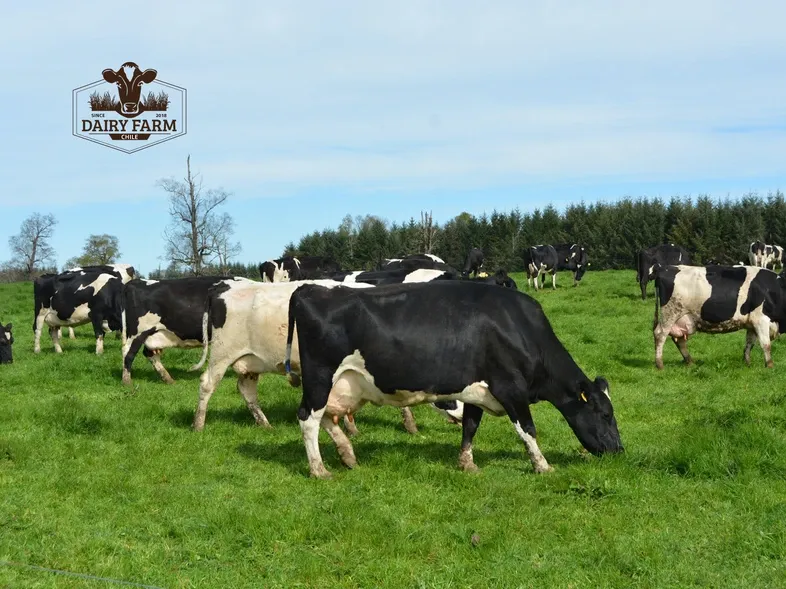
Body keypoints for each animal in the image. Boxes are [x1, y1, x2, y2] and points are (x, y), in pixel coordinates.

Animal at [121, 276, 255, 386]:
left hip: (152, 333)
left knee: (149, 353)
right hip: (137, 332)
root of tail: (136, 282)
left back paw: (168, 379)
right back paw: (127, 382)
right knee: (128, 353)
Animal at [283, 280, 623, 479]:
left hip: (339, 384)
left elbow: (470, 426)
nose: (619, 451)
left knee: (326, 416)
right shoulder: (510, 387)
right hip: (321, 376)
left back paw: (348, 455)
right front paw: (542, 465)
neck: (520, 328)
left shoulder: (476, 390)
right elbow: (527, 429)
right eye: (606, 414)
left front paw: (467, 463)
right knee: (308, 418)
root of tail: (309, 289)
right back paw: (319, 469)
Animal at [652, 264, 786, 369]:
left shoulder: (751, 323)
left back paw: (690, 361)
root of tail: (665, 268)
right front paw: (769, 365)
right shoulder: (760, 319)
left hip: (681, 318)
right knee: (660, 334)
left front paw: (747, 363)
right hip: (670, 313)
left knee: (679, 339)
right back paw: (659, 364)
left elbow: (749, 344)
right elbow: (766, 344)